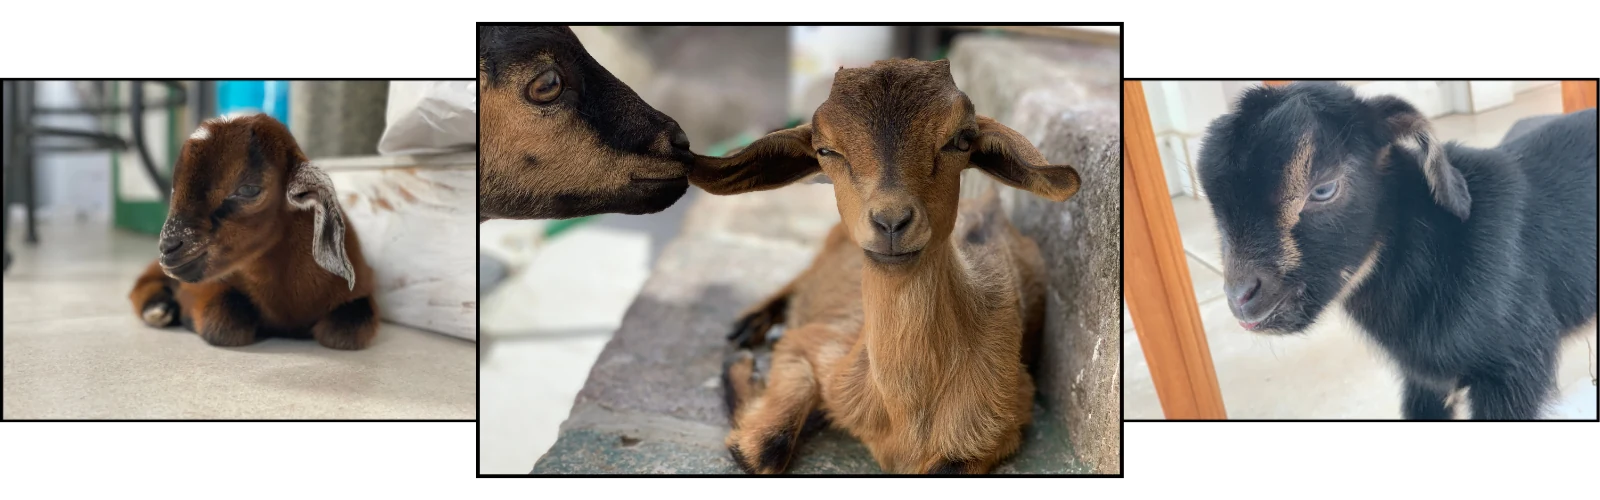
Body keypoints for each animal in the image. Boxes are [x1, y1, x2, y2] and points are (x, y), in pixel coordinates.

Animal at [127, 113, 379, 350]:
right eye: (173, 189)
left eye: (249, 189)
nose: (168, 247)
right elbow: (224, 322)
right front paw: (185, 314)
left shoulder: (360, 292)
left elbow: (345, 332)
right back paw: (158, 308)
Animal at [689, 59, 1081, 473]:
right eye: (825, 149)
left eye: (961, 140)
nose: (891, 222)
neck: (903, 413)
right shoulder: (818, 344)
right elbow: (761, 447)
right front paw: (741, 365)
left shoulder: (1003, 420)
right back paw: (749, 324)